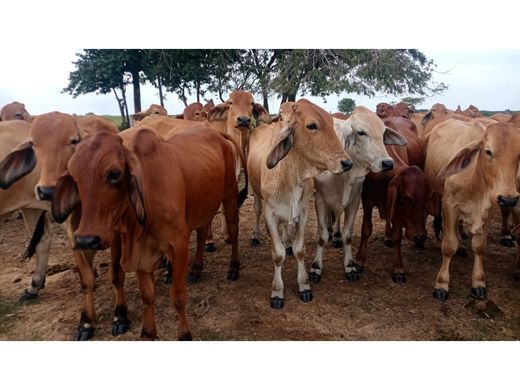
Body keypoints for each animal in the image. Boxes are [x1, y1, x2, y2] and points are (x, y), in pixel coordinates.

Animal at [53, 126, 248, 340]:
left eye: (114, 174)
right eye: (74, 177)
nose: (86, 240)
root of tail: (215, 133)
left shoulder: (178, 244)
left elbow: (178, 296)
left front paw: (184, 334)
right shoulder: (140, 252)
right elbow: (147, 296)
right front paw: (147, 332)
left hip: (229, 196)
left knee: (234, 230)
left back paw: (234, 268)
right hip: (202, 206)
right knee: (203, 233)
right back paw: (196, 269)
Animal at [354, 126, 434, 282]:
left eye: (426, 199)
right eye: (406, 198)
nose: (420, 236)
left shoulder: (397, 209)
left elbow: (398, 236)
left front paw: (398, 269)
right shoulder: (367, 201)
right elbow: (366, 230)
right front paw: (359, 262)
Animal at [424, 119, 520, 302]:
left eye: (519, 155)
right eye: (488, 151)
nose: (509, 199)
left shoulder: (488, 210)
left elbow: (479, 246)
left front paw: (478, 283)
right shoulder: (449, 205)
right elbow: (449, 245)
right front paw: (441, 285)